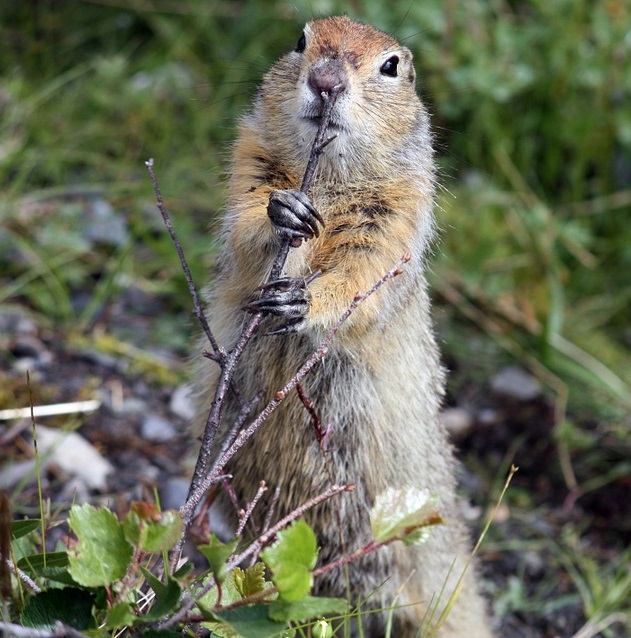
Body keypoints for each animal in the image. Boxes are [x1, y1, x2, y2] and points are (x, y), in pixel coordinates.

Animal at [192, 15, 493, 638]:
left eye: (392, 66)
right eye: (300, 40)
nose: (326, 81)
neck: (328, 177)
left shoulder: (397, 212)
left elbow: (362, 270)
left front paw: (303, 300)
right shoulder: (249, 159)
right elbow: (247, 223)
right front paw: (282, 213)